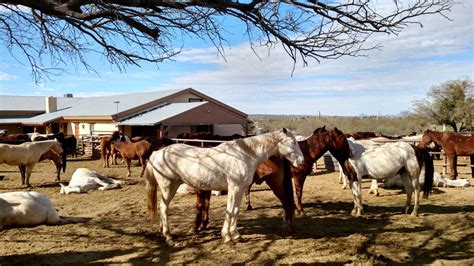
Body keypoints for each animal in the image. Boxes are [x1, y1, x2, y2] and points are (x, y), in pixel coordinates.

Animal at [144, 128, 304, 244]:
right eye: (293, 142)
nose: (301, 161)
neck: (243, 155)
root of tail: (158, 152)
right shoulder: (233, 188)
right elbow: (230, 210)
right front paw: (227, 236)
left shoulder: (240, 189)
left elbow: (235, 211)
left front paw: (236, 235)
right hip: (168, 186)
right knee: (163, 207)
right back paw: (168, 235)